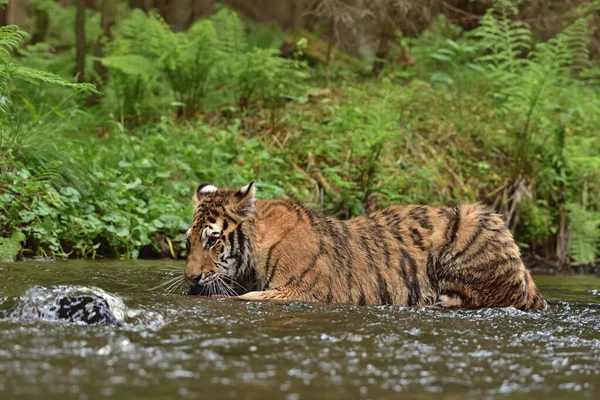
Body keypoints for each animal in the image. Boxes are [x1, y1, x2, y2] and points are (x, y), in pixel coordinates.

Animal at [184, 181, 548, 310]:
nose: (190, 278)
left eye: (213, 239)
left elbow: (244, 298)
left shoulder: (301, 292)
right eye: (188, 242)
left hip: (474, 218)